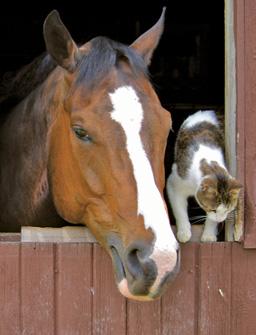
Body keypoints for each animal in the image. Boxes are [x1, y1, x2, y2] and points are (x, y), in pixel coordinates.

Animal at [166, 111, 242, 244]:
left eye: (228, 210)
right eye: (213, 210)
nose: (220, 220)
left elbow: (211, 221)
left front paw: (209, 234)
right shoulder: (174, 184)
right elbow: (179, 210)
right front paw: (184, 232)